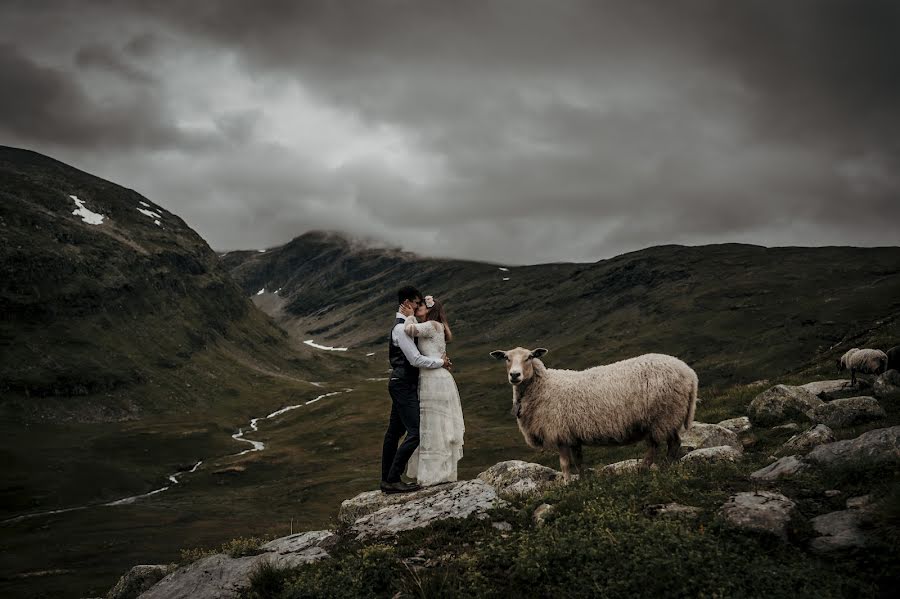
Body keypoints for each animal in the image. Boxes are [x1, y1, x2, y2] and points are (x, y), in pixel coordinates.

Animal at [492, 346, 696, 482]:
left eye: (529, 357)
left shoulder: (559, 433)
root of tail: (689, 373)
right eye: (506, 358)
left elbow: (565, 464)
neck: (544, 386)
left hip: (664, 415)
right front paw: (583, 482)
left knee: (667, 445)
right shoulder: (573, 436)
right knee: (666, 444)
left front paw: (567, 486)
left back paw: (659, 469)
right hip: (666, 417)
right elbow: (579, 462)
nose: (515, 375)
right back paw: (652, 469)